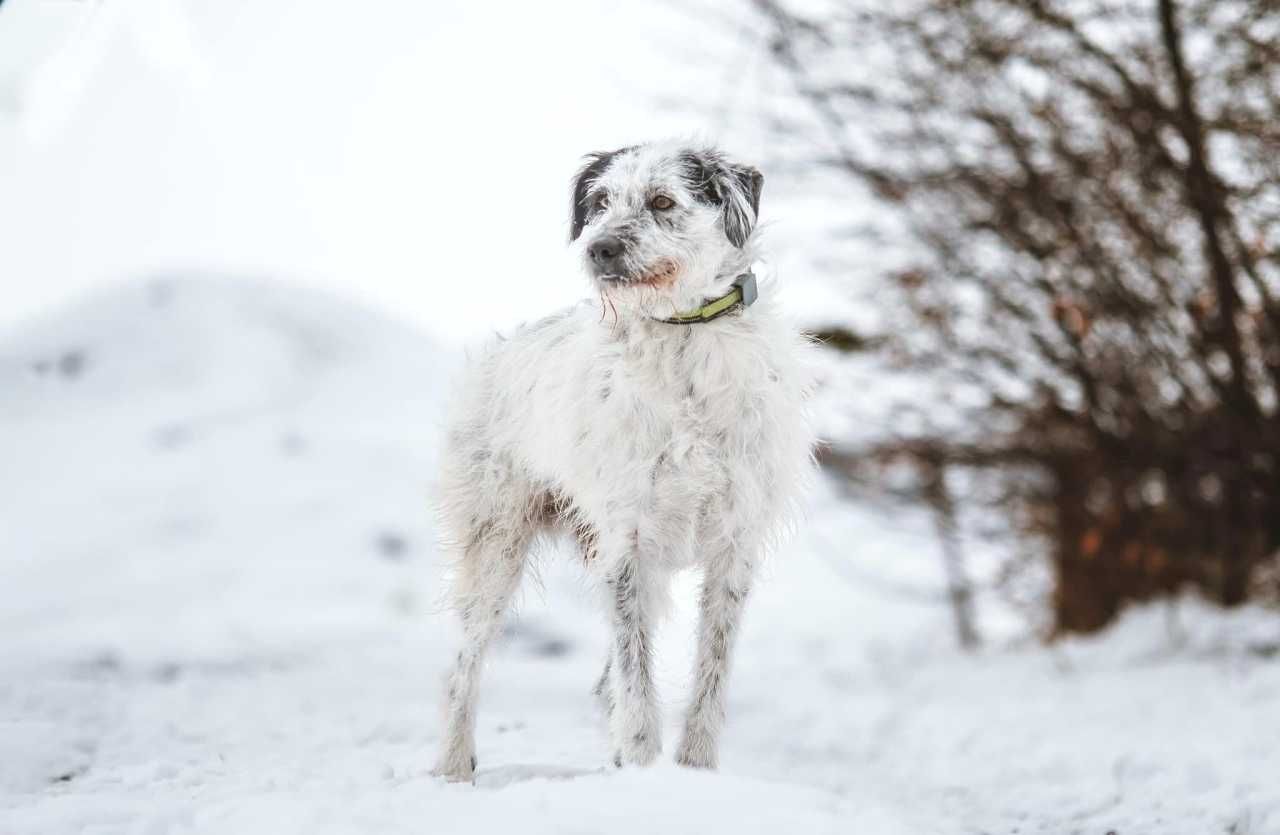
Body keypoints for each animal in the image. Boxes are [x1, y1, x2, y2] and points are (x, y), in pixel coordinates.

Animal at [430, 140, 808, 778]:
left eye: (662, 201)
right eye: (601, 202)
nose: (598, 248)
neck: (682, 337)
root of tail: (500, 352)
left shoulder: (733, 543)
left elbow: (709, 672)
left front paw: (693, 769)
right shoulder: (627, 541)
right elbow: (636, 678)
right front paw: (643, 764)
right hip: (495, 545)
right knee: (463, 665)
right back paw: (453, 768)